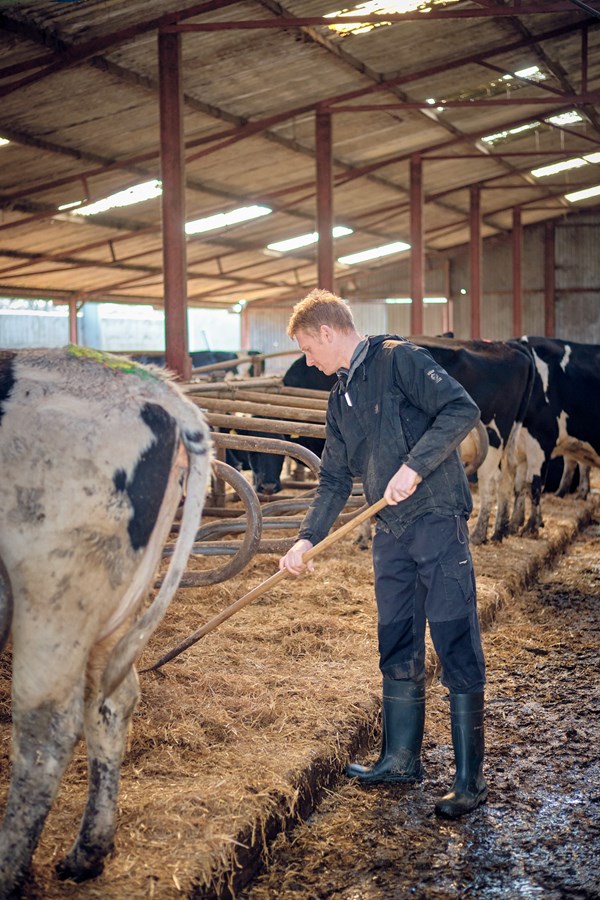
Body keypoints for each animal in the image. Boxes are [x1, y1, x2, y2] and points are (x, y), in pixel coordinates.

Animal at [0, 344, 211, 892]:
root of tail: (161, 390)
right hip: (111, 606)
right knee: (111, 701)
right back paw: (86, 854)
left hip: (54, 589)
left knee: (47, 728)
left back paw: (10, 870)